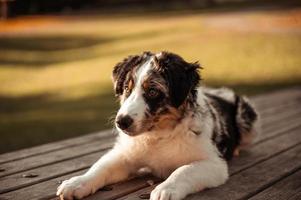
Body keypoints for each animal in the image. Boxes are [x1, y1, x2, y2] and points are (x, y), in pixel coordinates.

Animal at [56, 52, 258, 200]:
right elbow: (101, 166)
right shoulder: (124, 154)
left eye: (152, 91)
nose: (121, 122)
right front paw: (76, 183)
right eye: (127, 89)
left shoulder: (214, 163)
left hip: (247, 117)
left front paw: (166, 189)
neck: (158, 136)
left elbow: (184, 169)